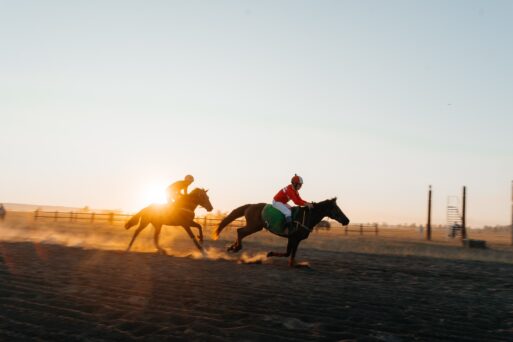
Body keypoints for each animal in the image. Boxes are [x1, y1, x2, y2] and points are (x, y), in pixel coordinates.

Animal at [212, 198, 348, 268]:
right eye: (336, 208)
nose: (347, 220)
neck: (306, 217)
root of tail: (250, 205)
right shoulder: (293, 238)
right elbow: (288, 254)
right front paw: (269, 254)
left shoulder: (295, 239)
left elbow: (290, 254)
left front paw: (295, 264)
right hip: (254, 226)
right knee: (240, 231)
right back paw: (236, 248)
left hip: (255, 226)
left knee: (240, 232)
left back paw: (232, 247)